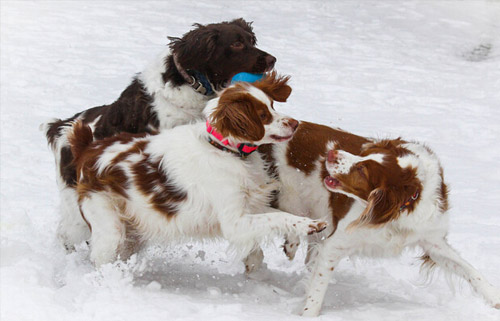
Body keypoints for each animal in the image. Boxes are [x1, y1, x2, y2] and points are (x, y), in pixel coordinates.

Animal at [42, 18, 278, 250]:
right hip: (77, 208)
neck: (192, 86)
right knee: (69, 233)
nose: (272, 60)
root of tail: (60, 127)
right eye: (236, 44)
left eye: (251, 40)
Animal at [69, 74, 328, 266]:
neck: (224, 150)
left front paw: (299, 234)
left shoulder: (249, 205)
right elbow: (278, 216)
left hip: (132, 231)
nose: (295, 123)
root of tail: (88, 149)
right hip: (109, 227)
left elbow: (283, 214)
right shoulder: (233, 221)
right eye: (263, 115)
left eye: (272, 105)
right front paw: (310, 226)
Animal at [270, 122, 500, 316]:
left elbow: (469, 269)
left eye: (362, 169)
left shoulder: (432, 240)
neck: (396, 214)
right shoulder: (336, 244)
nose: (331, 153)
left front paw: (494, 297)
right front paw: (307, 314)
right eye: (363, 154)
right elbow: (317, 290)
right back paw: (291, 243)